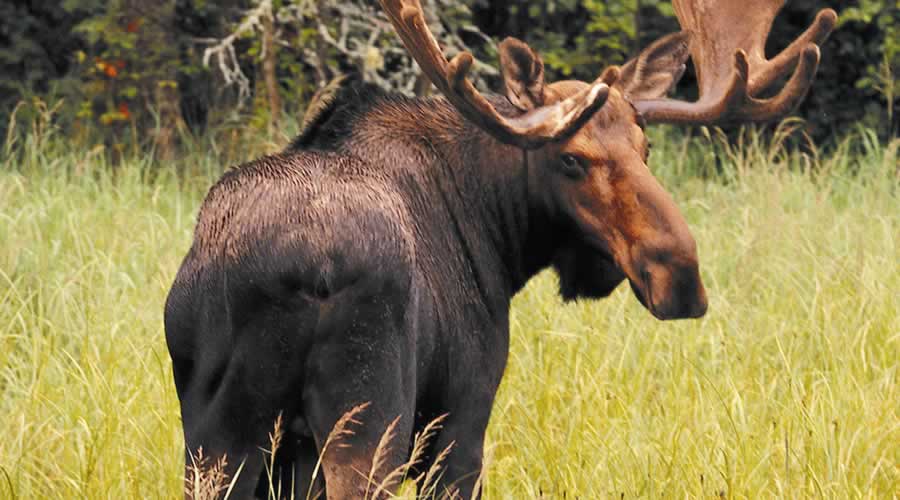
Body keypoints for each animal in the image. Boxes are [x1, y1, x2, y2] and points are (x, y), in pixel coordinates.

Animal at [163, 1, 836, 498]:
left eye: (645, 148)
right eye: (571, 159)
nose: (681, 277)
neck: (500, 237)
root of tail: (303, 267)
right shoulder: (463, 421)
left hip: (216, 434)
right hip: (369, 419)